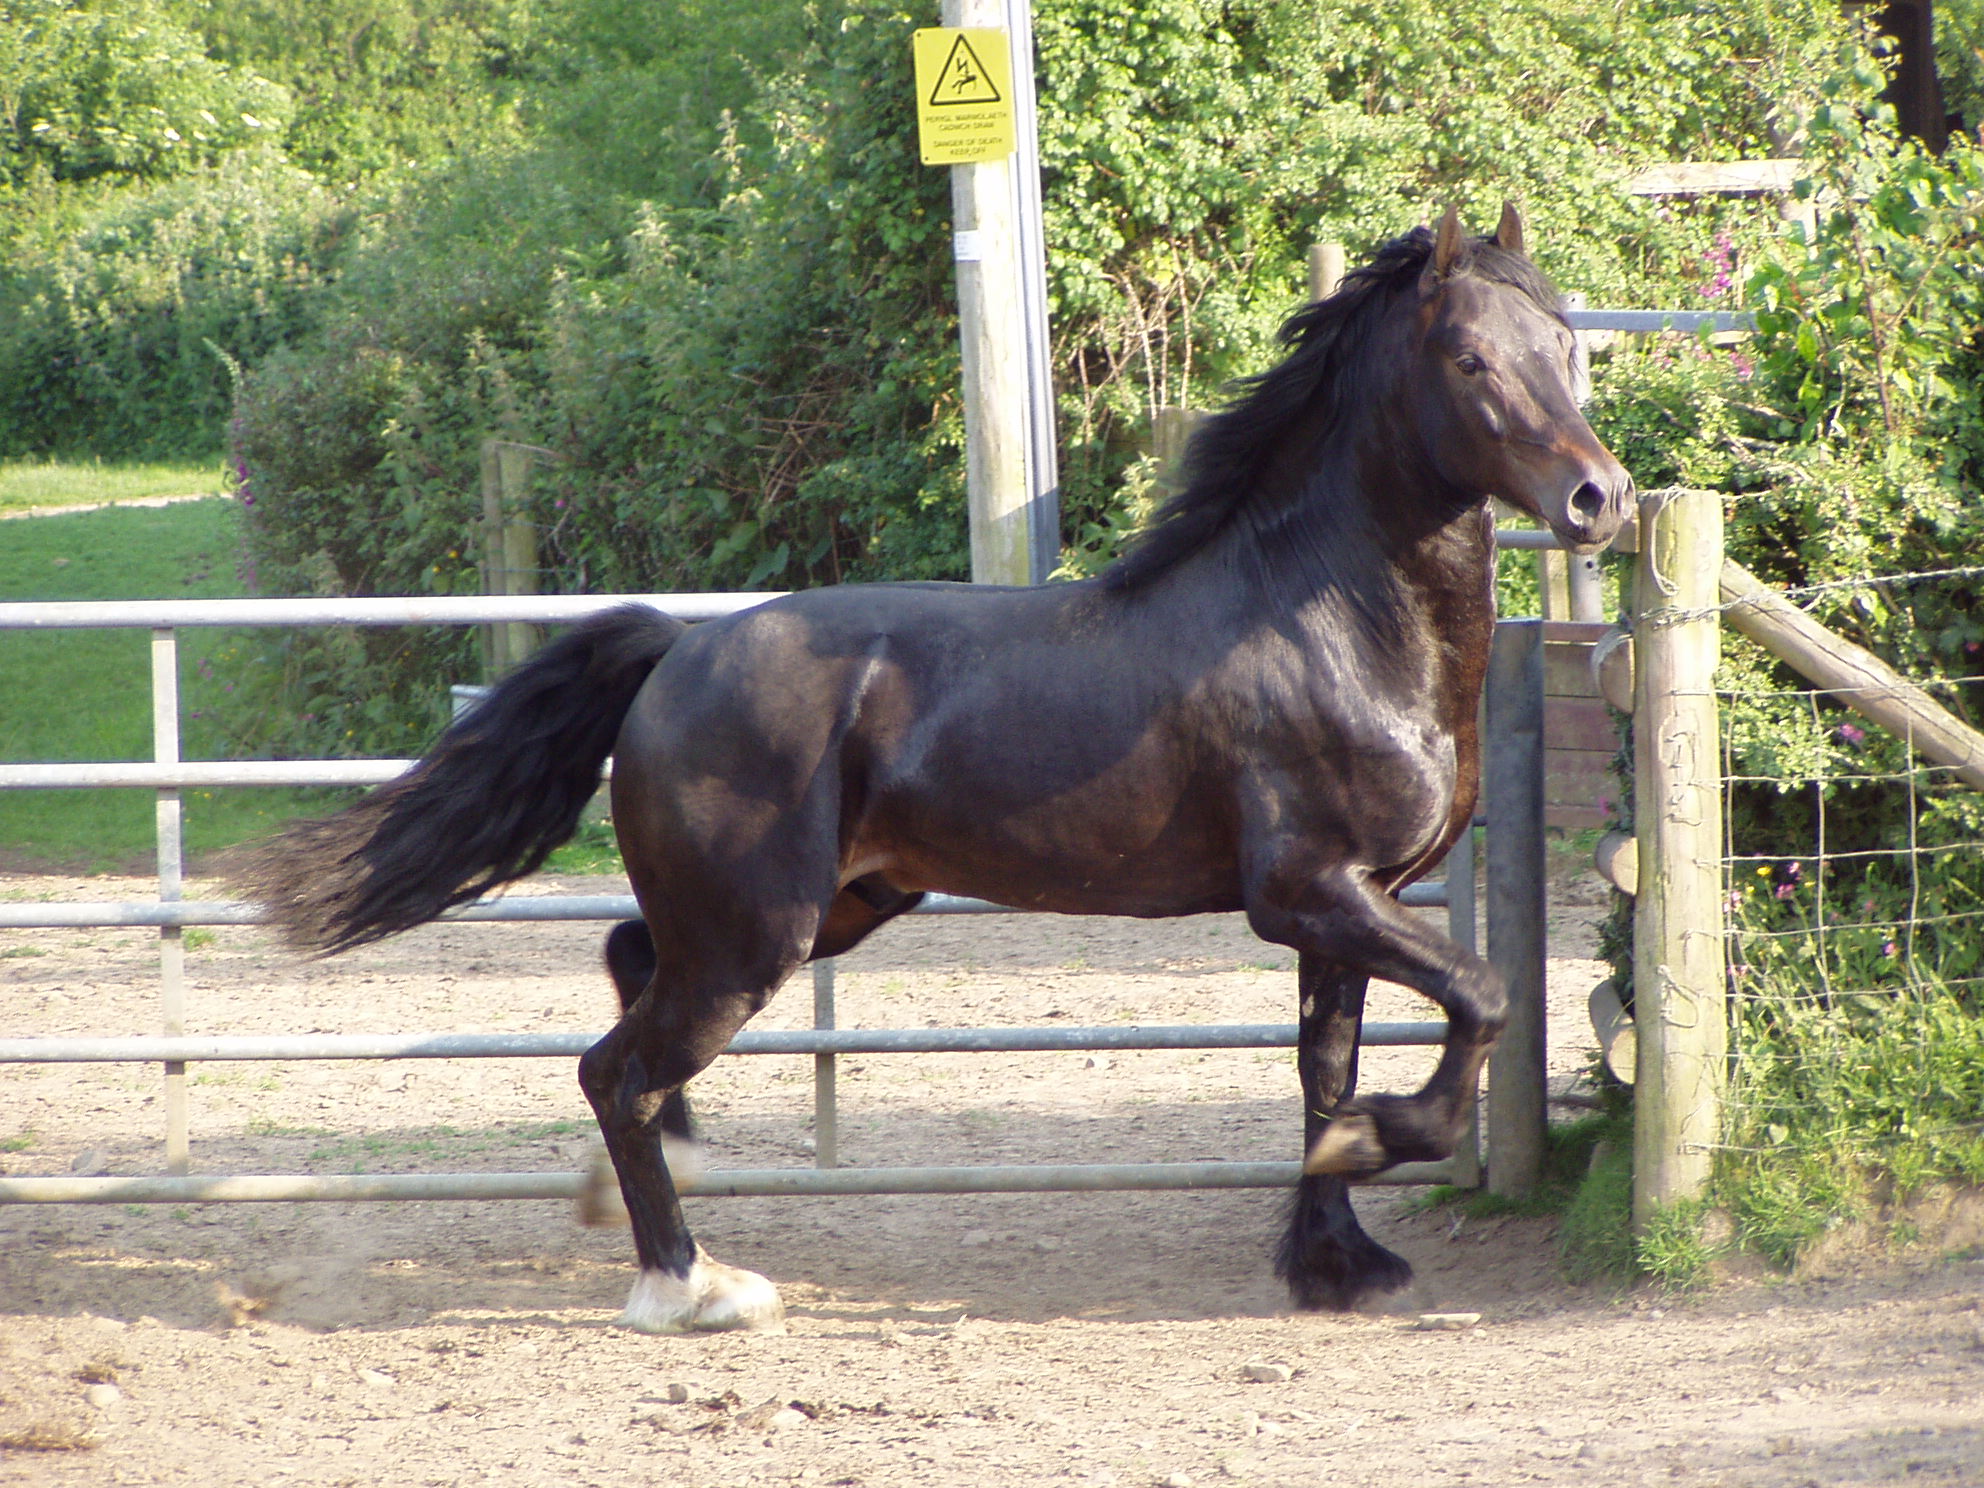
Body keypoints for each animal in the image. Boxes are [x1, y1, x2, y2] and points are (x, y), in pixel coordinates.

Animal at [232, 204, 1626, 1333]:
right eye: (1469, 358)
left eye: (1569, 349)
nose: (1597, 500)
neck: (1321, 620)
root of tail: (678, 647)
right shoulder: (1308, 894)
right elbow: (1481, 998)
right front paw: (1380, 1142)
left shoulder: (1344, 908)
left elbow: (1321, 1066)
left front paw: (1334, 1252)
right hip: (757, 937)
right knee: (614, 1069)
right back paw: (691, 1284)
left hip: (825, 909)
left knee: (628, 982)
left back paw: (666, 1182)